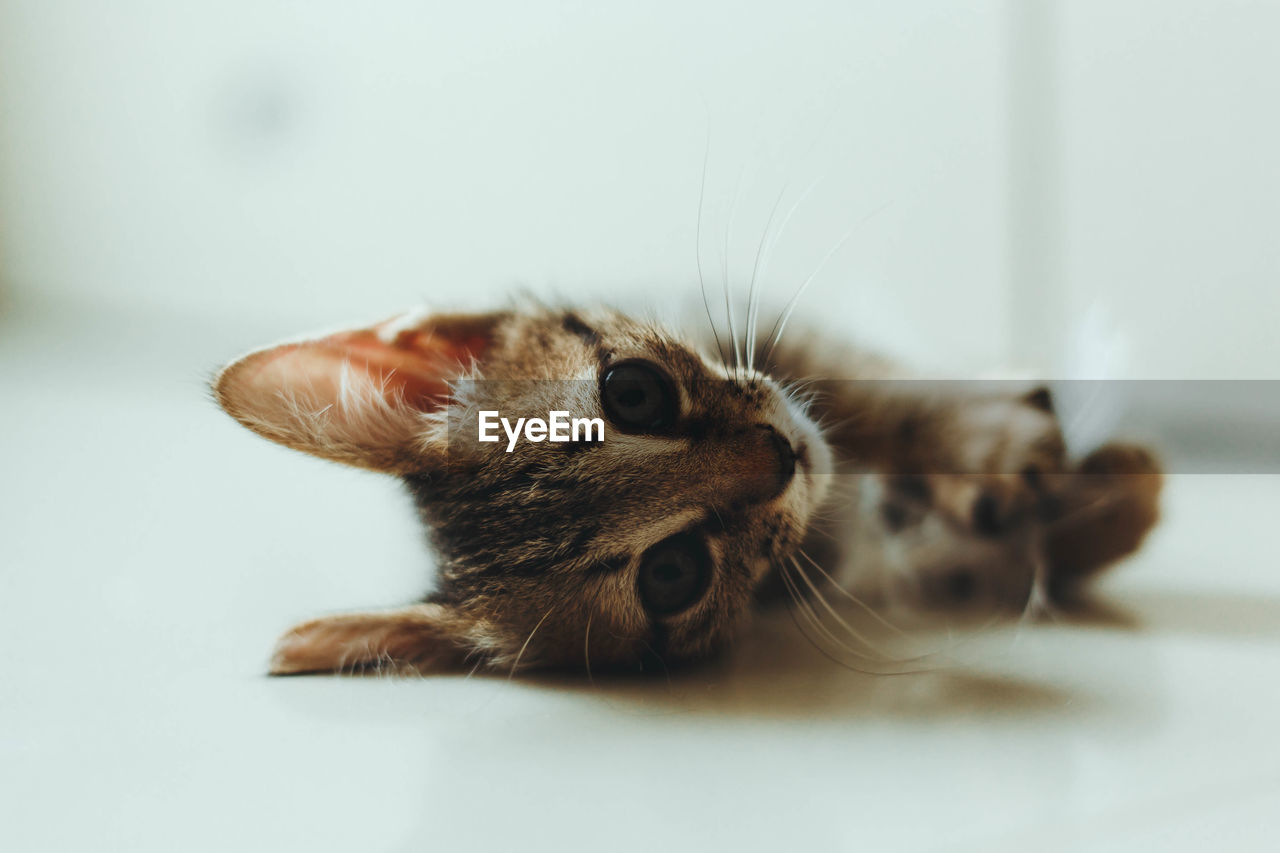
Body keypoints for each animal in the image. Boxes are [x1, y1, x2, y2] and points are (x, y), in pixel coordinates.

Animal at [212, 302, 1162, 676]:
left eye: (633, 391)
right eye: (673, 574)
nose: (782, 456)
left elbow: (869, 387)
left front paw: (998, 445)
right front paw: (1107, 506)